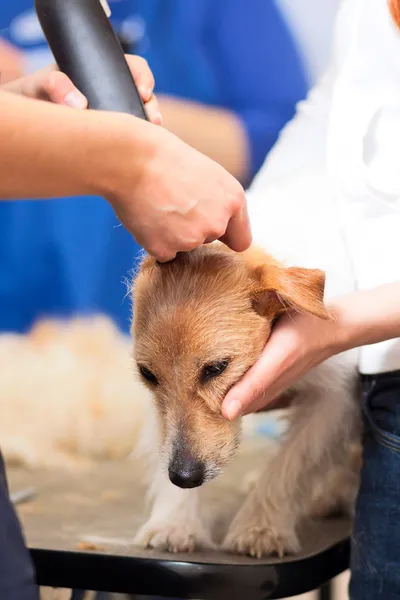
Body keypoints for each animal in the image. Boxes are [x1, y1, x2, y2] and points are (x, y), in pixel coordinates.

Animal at [131, 243, 360, 556]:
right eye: (147, 373)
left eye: (216, 367)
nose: (184, 476)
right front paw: (174, 524)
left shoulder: (333, 397)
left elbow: (291, 464)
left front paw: (260, 529)